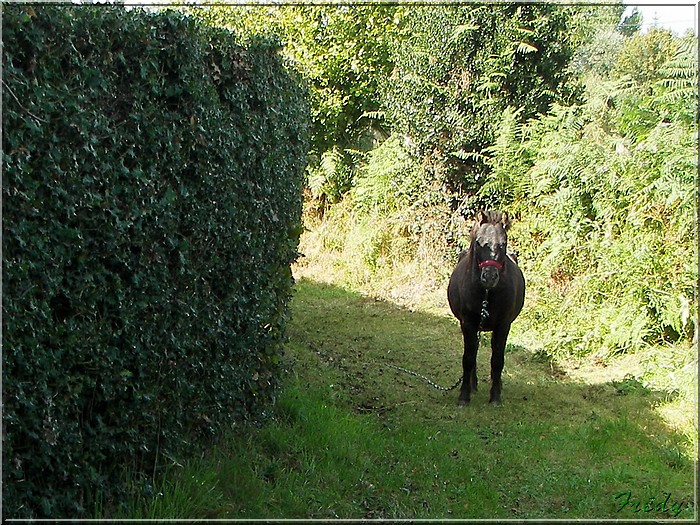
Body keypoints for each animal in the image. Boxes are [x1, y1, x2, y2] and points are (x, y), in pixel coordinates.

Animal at [448, 209, 524, 406]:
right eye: (478, 242)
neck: (487, 293)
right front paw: (464, 396)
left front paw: (495, 396)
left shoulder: (503, 325)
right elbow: (468, 358)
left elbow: (497, 360)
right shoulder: (468, 324)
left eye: (503, 243)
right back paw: (472, 385)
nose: (489, 277)